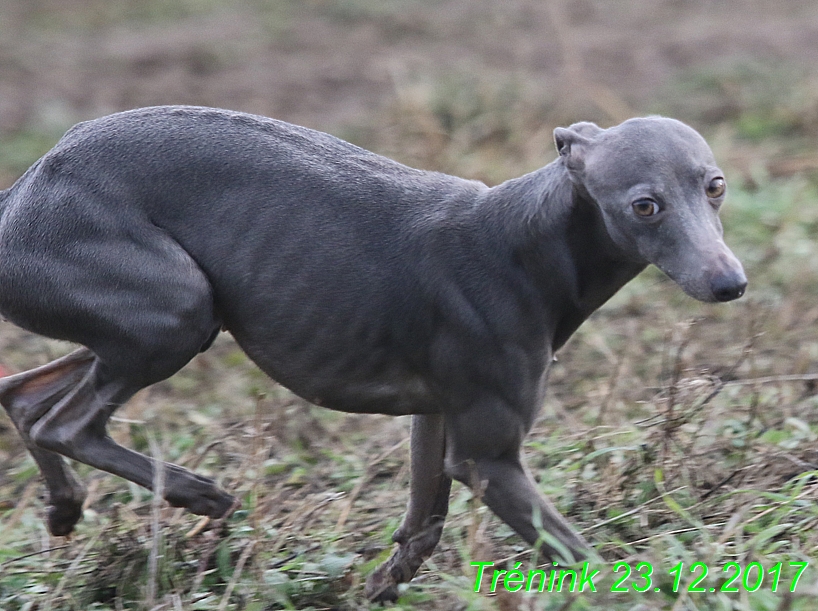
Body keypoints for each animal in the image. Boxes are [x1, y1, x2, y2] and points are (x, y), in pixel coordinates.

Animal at [0, 107, 744, 600]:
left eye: (715, 185)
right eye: (644, 205)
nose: (730, 283)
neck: (528, 244)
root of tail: (23, 189)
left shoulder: (436, 415)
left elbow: (420, 529)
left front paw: (374, 589)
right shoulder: (490, 458)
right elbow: (579, 555)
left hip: (138, 324)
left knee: (23, 395)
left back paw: (65, 509)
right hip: (177, 310)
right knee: (64, 422)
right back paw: (198, 492)